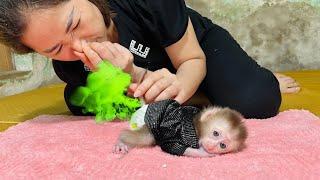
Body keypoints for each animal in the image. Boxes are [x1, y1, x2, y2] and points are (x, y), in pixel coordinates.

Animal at [112, 99, 248, 157]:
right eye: (215, 133)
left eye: (222, 145)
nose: (211, 146)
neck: (196, 127)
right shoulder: (176, 130)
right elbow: (171, 146)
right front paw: (204, 153)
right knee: (146, 138)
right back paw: (121, 142)